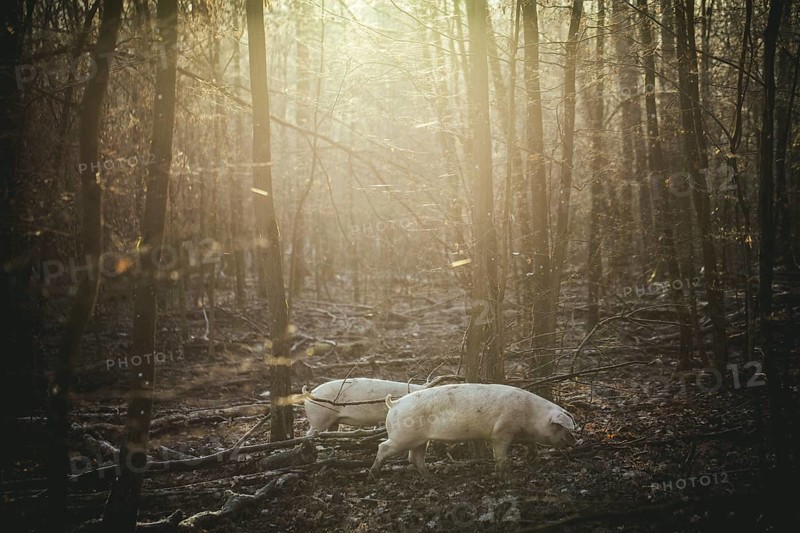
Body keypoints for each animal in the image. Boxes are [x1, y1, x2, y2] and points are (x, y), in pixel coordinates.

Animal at [368, 383, 577, 479]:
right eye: (560, 425)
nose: (574, 441)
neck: (530, 417)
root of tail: (394, 404)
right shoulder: (501, 431)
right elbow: (500, 453)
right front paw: (504, 473)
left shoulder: (520, 433)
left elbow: (531, 444)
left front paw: (531, 457)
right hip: (403, 437)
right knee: (383, 447)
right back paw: (373, 473)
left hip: (420, 440)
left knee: (414, 458)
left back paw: (432, 478)